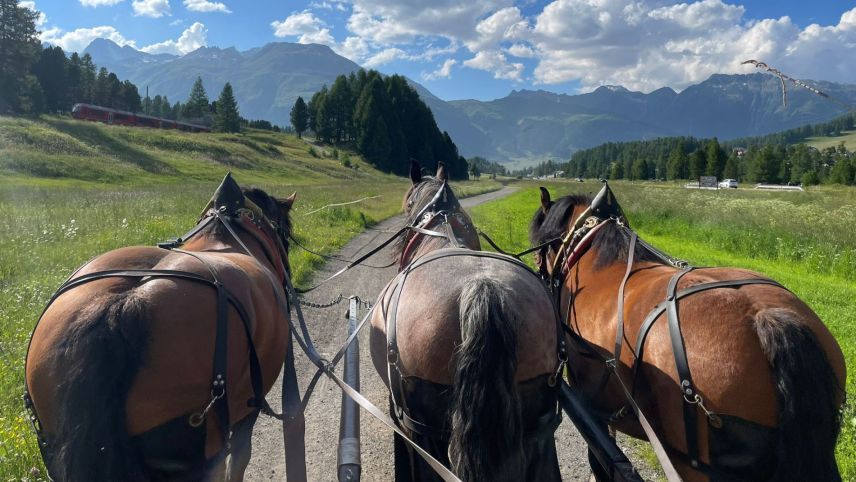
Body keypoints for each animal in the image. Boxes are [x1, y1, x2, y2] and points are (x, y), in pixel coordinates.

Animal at [529, 183, 846, 482]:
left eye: (539, 244)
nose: (540, 274)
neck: (594, 261)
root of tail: (766, 318)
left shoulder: (589, 404)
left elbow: (602, 457)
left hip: (691, 462)